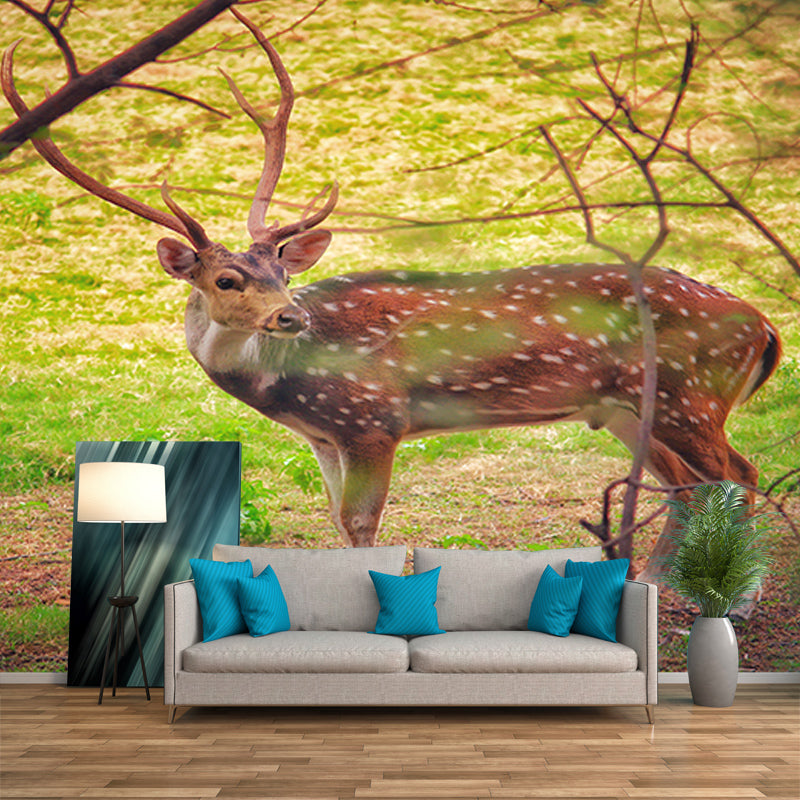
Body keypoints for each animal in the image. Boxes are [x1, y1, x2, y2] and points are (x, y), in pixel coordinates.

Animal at [3, 10, 781, 582]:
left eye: (283, 272)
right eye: (228, 279)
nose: (291, 315)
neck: (286, 385)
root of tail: (766, 328)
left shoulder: (374, 418)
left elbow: (363, 525)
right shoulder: (323, 435)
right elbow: (337, 523)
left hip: (688, 394)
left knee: (738, 474)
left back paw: (729, 598)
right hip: (629, 408)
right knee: (689, 486)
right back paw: (652, 583)